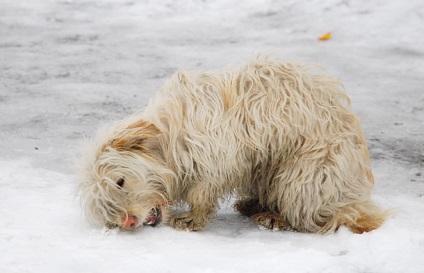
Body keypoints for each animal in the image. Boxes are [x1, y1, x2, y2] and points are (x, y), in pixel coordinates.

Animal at [77, 55, 390, 234]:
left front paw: (193, 218)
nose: (128, 222)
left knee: (316, 217)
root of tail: (352, 200)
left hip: (302, 175)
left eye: (120, 181)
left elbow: (202, 192)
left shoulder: (217, 152)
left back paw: (277, 218)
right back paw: (255, 203)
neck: (168, 137)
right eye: (105, 204)